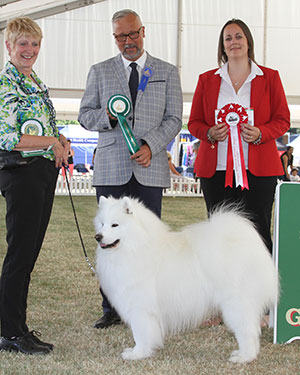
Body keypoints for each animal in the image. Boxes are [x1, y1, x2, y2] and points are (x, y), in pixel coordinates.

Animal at [94, 197, 278, 364]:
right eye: (102, 224)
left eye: (115, 225)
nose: (98, 236)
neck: (136, 247)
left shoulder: (140, 308)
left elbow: (140, 334)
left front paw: (137, 354)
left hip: (236, 304)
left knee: (247, 331)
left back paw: (244, 357)